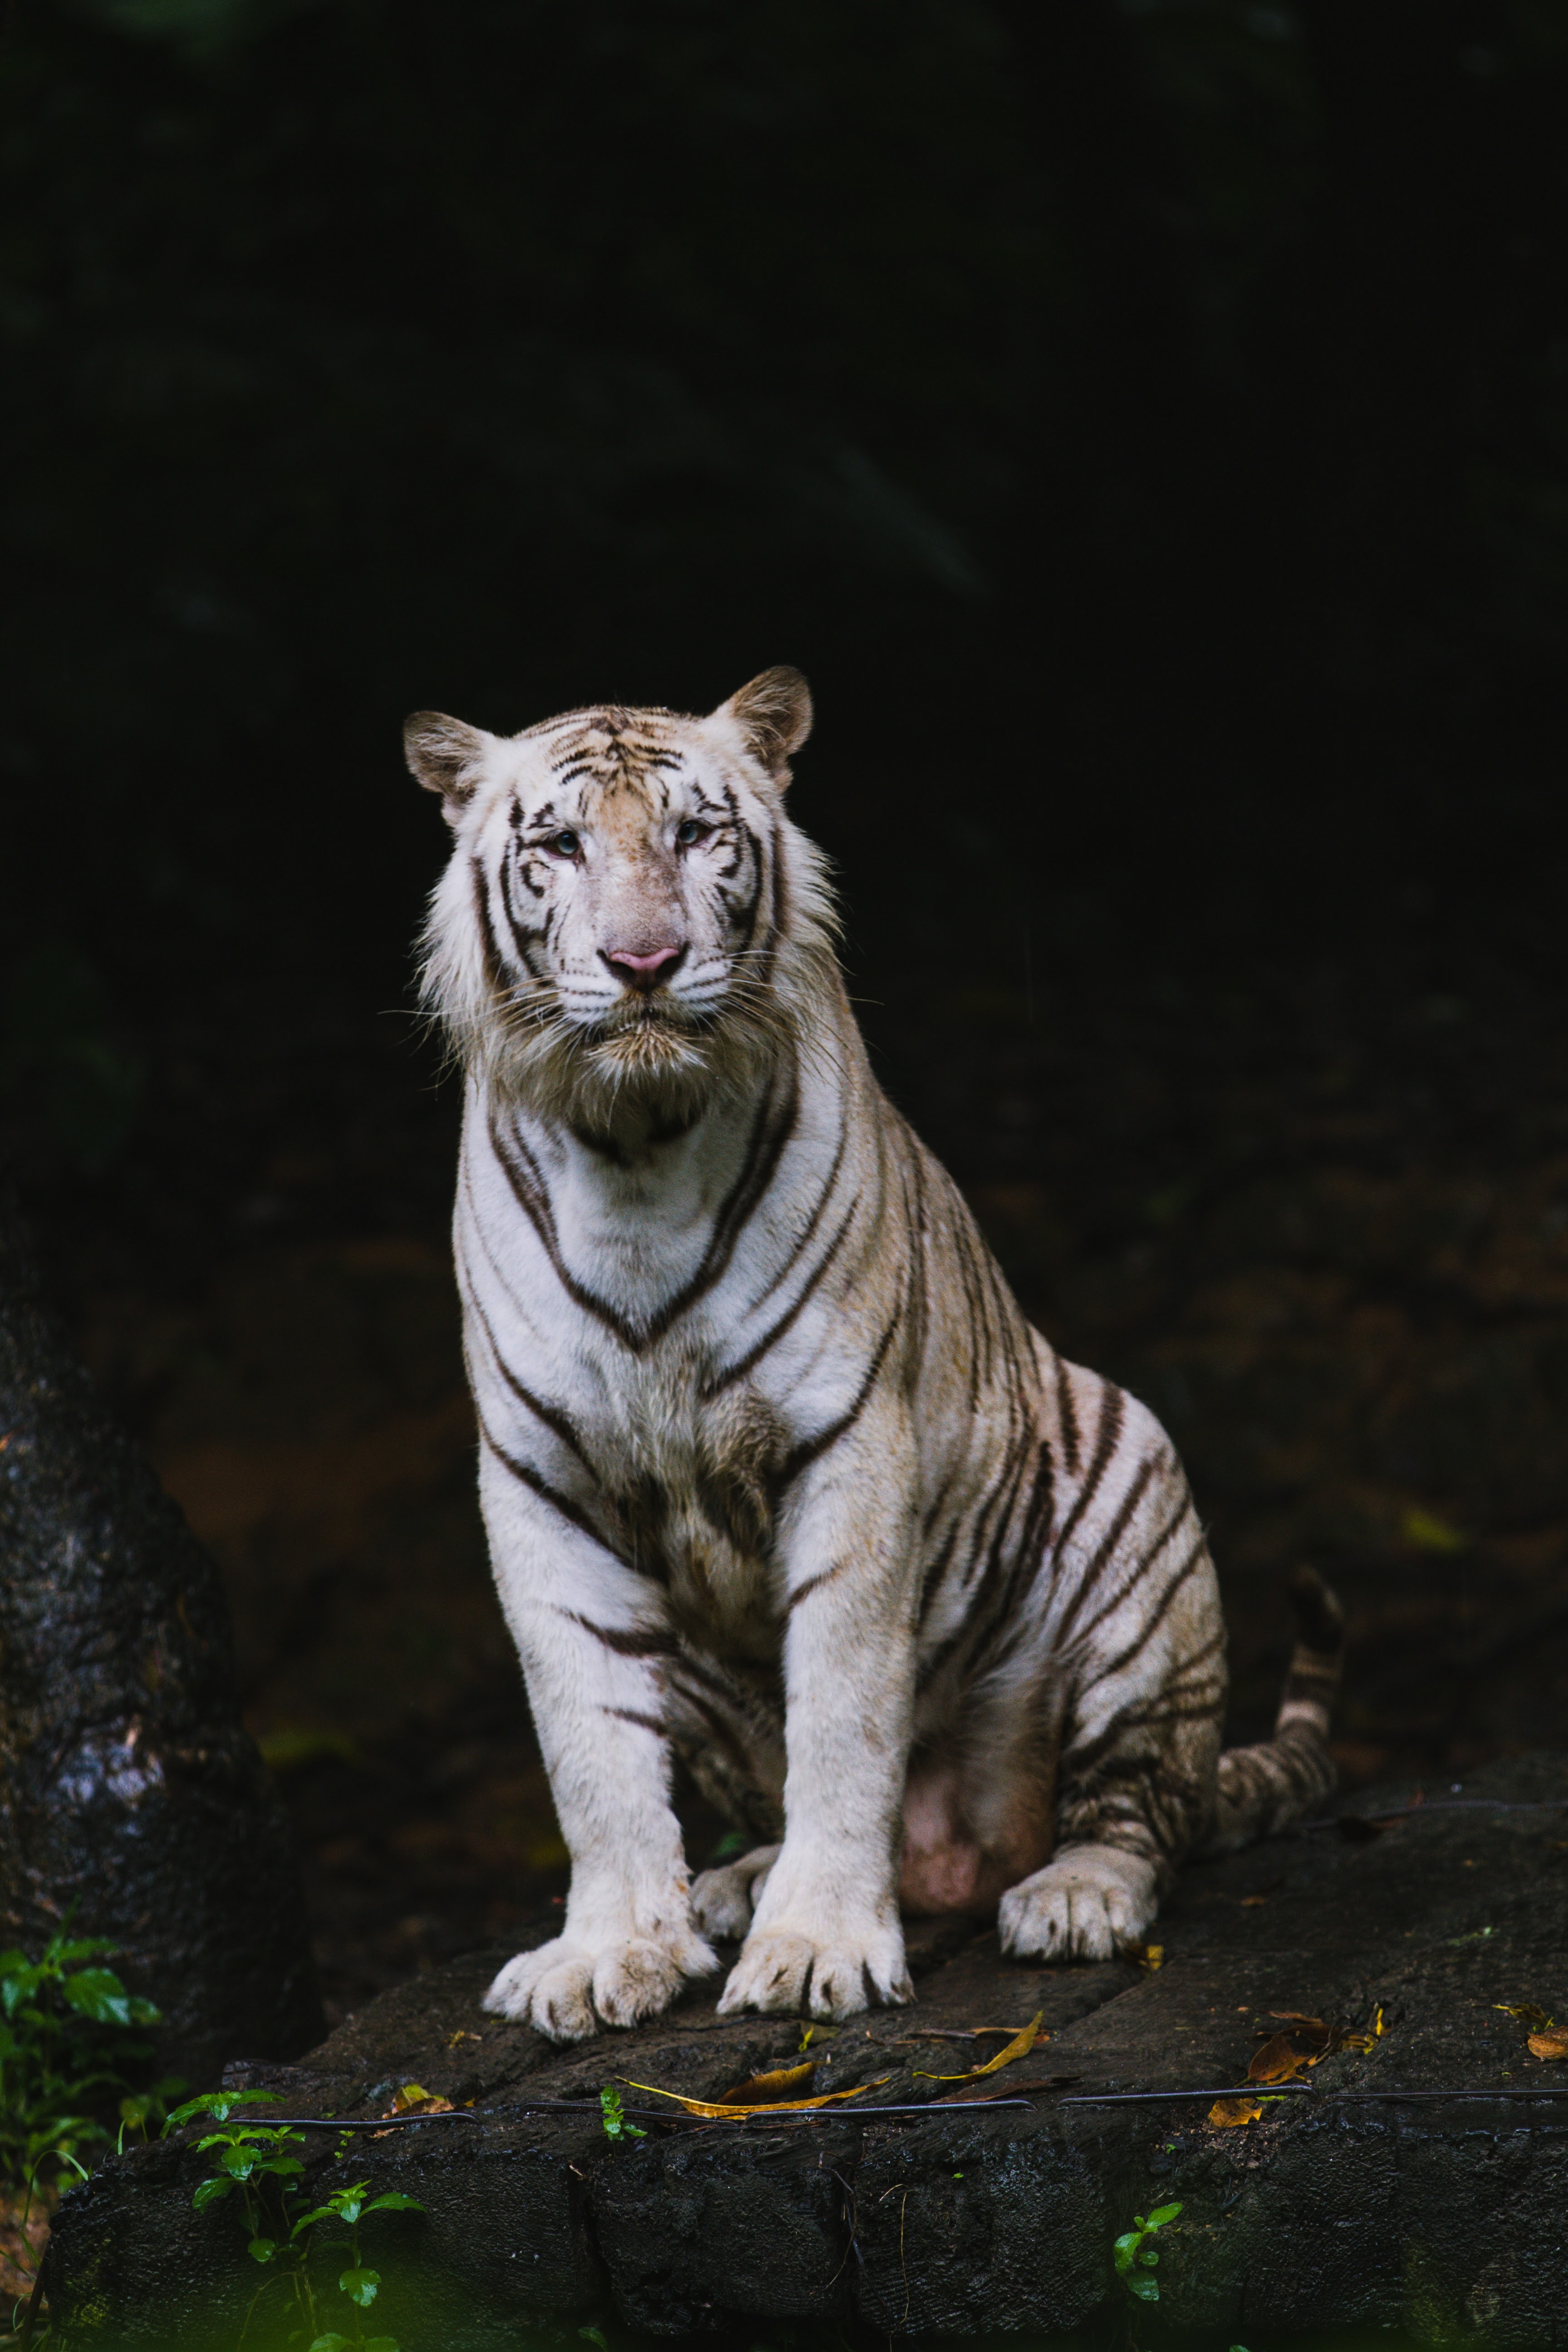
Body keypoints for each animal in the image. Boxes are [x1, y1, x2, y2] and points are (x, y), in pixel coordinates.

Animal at [407, 666, 1343, 2043]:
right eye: (561, 845)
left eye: (695, 832)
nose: (644, 962)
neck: (634, 1146)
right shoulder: (540, 1484)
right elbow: (588, 1749)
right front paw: (609, 1952)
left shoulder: (847, 1447)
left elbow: (845, 1718)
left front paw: (815, 1951)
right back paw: (726, 1888)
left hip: (1137, 1502)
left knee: (1140, 1811)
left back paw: (1071, 1895)